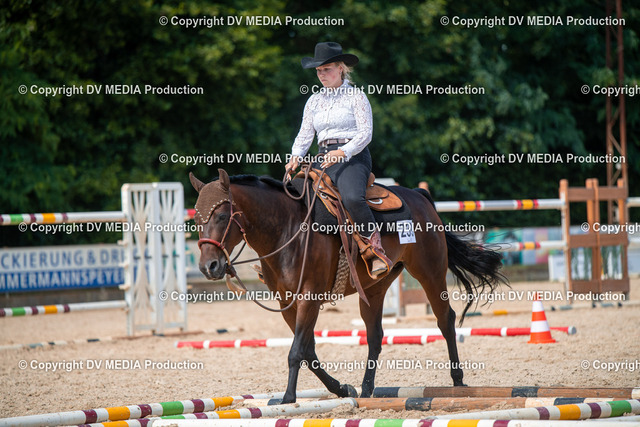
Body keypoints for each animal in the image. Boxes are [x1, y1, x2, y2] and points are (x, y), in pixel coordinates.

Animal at [189, 168, 506, 403]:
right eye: (196, 219)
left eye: (221, 215)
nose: (209, 266)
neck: (287, 230)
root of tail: (420, 197)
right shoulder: (286, 302)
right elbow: (308, 351)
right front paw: (342, 389)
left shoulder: (309, 297)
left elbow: (296, 351)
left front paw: (288, 397)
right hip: (376, 288)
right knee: (375, 335)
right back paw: (366, 390)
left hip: (430, 273)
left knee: (445, 320)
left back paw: (458, 380)